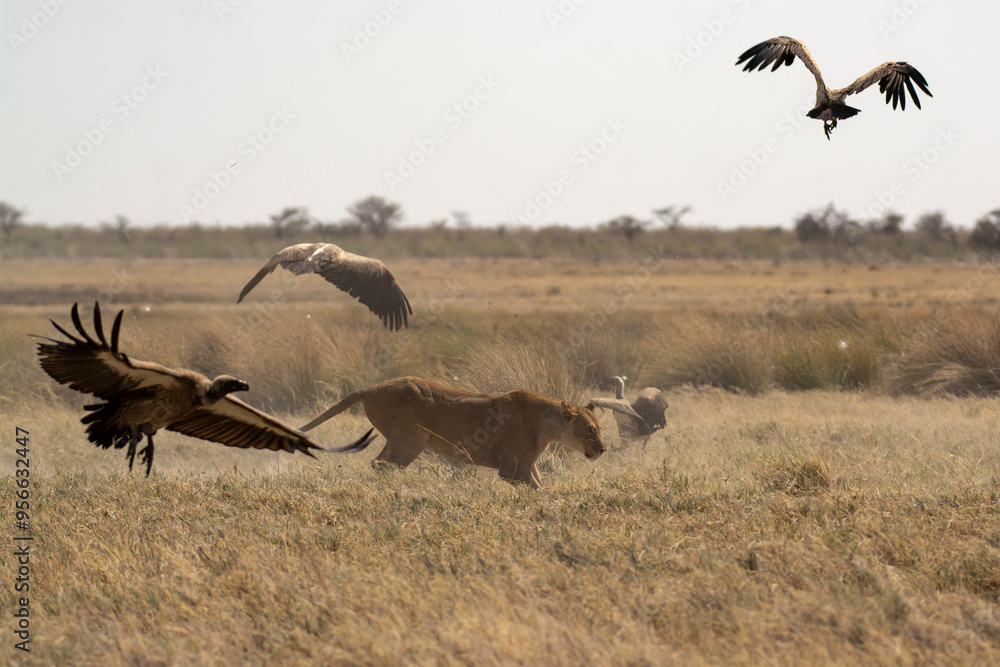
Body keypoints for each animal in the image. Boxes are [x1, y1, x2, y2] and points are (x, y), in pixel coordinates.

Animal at [300, 376, 606, 489]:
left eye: (600, 429)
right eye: (589, 430)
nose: (603, 449)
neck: (548, 425)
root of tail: (372, 387)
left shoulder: (528, 465)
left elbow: (542, 484)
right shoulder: (512, 469)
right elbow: (537, 490)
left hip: (401, 441)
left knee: (379, 463)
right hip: (412, 440)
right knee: (383, 464)